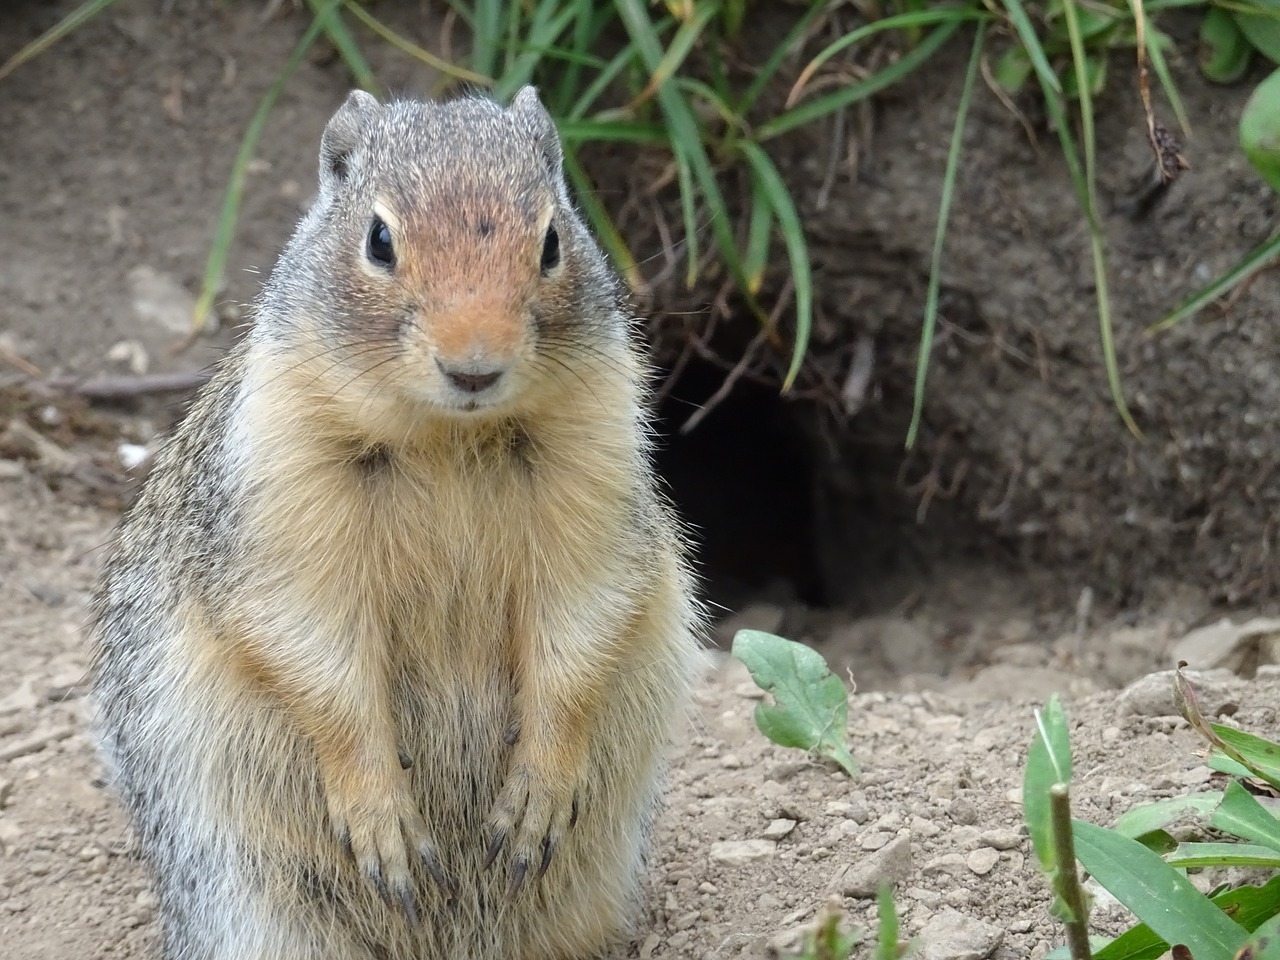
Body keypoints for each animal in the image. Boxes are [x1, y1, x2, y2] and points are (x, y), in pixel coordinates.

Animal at [90, 86, 706, 957]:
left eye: (552, 239)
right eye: (379, 240)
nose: (474, 365)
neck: (448, 436)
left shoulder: (596, 483)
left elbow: (577, 632)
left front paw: (536, 798)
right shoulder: (283, 507)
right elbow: (321, 663)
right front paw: (384, 823)